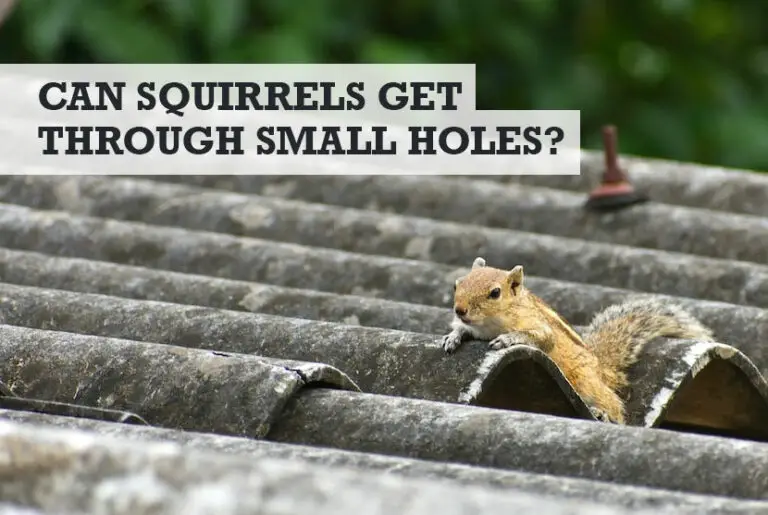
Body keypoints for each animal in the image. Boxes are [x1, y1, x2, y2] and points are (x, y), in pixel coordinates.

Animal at [441, 257, 715, 424]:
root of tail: (601, 369)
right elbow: (461, 330)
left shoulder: (540, 328)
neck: (489, 323)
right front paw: (452, 337)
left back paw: (604, 412)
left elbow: (539, 338)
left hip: (584, 381)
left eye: (495, 293)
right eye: (457, 284)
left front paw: (508, 339)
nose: (460, 310)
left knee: (614, 406)